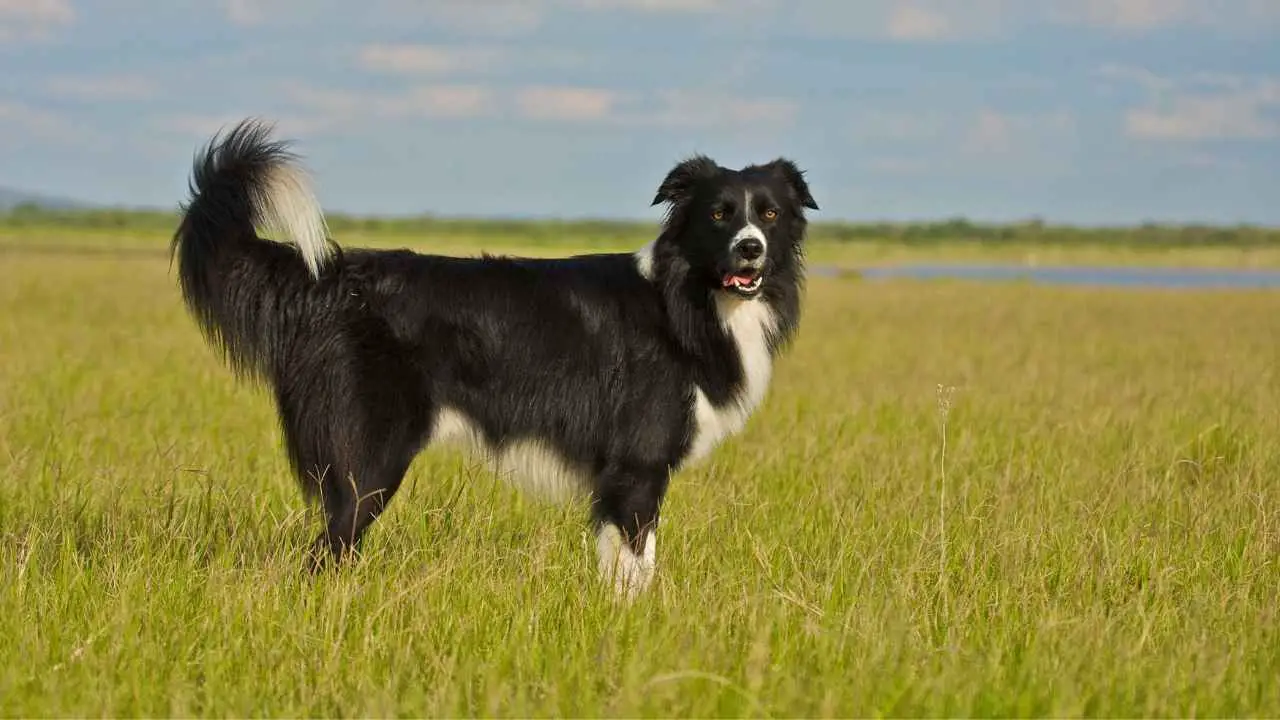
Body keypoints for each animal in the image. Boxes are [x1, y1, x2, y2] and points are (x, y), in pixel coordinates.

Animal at [170, 117, 819, 597]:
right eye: (718, 213)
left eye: (769, 214)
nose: (751, 250)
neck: (687, 299)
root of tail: (327, 279)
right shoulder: (636, 471)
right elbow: (636, 573)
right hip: (368, 466)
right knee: (325, 555)